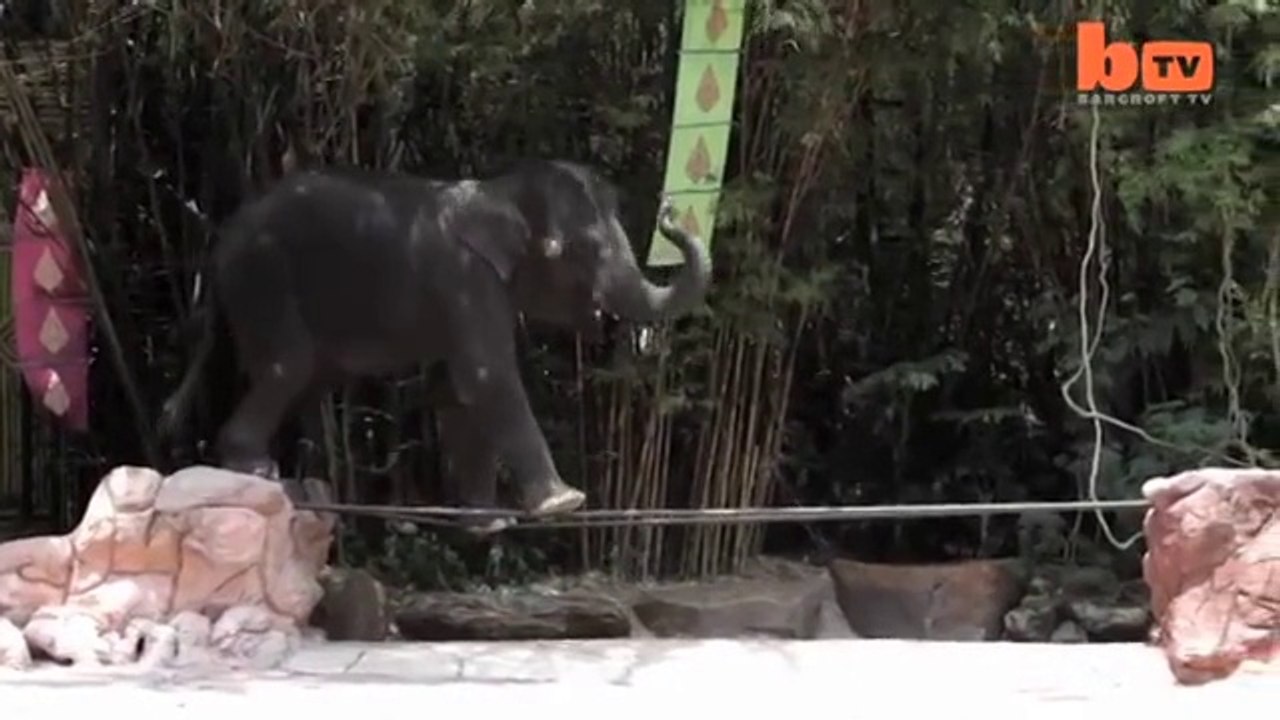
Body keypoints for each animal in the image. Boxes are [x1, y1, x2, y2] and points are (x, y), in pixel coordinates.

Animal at [157, 159, 711, 533]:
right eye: (579, 251)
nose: (670, 211)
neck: (499, 190)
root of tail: (220, 239)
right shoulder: (463, 277)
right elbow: (488, 375)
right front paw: (564, 504)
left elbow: (458, 390)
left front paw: (489, 525)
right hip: (263, 275)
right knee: (287, 366)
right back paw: (256, 470)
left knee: (310, 376)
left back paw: (301, 484)